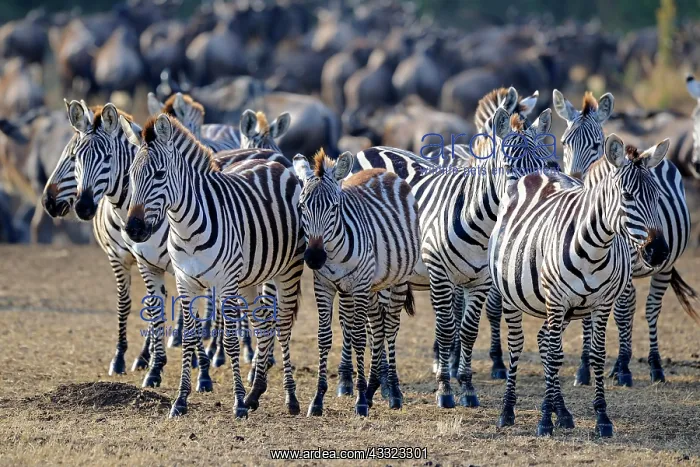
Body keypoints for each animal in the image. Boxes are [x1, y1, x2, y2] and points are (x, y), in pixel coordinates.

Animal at [121, 113, 304, 418]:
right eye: (131, 176)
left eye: (159, 174)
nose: (133, 229)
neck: (184, 227)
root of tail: (275, 163)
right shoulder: (185, 282)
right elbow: (189, 337)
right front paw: (180, 400)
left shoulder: (225, 283)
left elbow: (229, 341)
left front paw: (238, 402)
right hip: (251, 278)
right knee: (263, 322)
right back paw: (256, 393)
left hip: (288, 270)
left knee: (282, 325)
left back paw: (291, 399)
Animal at [293, 150, 420, 416]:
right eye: (301, 206)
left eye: (334, 207)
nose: (314, 257)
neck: (332, 251)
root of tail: (382, 171)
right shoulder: (324, 286)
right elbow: (324, 337)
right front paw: (318, 399)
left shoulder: (359, 286)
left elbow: (360, 338)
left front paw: (360, 400)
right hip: (371, 287)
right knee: (378, 327)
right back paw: (373, 389)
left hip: (397, 281)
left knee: (390, 328)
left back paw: (393, 393)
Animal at [355, 106, 558, 408]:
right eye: (508, 166)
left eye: (545, 164)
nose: (535, 198)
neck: (483, 225)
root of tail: (371, 148)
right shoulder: (440, 274)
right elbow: (446, 329)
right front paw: (445, 390)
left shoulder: (481, 281)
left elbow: (468, 331)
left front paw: (468, 388)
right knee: (377, 323)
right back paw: (380, 387)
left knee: (384, 321)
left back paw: (385, 386)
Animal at [489, 133, 670, 437]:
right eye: (627, 196)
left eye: (658, 197)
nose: (658, 252)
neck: (595, 249)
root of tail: (539, 173)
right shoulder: (556, 301)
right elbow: (554, 355)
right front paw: (543, 421)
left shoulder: (602, 304)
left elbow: (595, 355)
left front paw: (602, 418)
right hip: (513, 297)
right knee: (518, 345)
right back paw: (507, 410)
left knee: (545, 342)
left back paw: (561, 411)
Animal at [553, 90, 699, 386]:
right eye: (564, 143)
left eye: (597, 144)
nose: (575, 181)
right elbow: (590, 315)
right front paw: (585, 367)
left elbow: (623, 311)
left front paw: (623, 369)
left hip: (664, 266)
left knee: (650, 308)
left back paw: (653, 366)